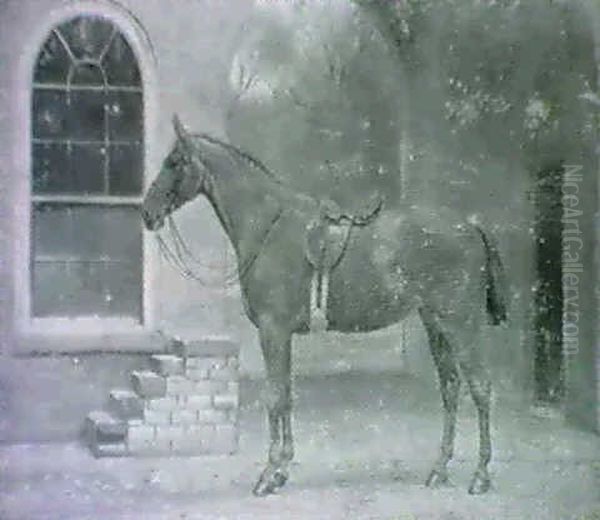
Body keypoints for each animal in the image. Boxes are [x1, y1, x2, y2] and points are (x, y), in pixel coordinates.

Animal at [141, 116, 506, 498]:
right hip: (436, 324)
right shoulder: (281, 334)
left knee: (480, 386)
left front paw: (269, 473)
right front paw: (282, 468)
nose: (147, 212)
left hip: (461, 323)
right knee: (450, 388)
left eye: (174, 163)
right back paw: (439, 469)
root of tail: (471, 226)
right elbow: (286, 394)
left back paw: (481, 475)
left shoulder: (273, 331)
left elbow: (275, 396)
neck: (268, 226)